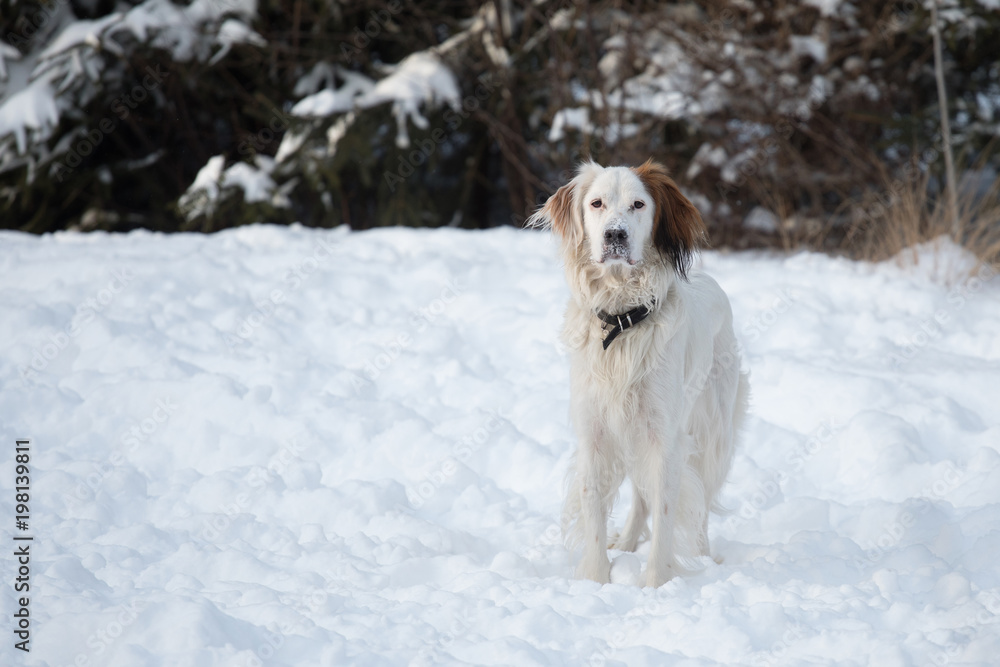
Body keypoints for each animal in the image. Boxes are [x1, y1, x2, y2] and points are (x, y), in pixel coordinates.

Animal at [528, 159, 748, 588]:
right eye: (596, 203)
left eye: (638, 204)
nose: (615, 234)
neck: (622, 321)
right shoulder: (596, 433)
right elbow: (596, 510)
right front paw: (597, 581)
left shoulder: (664, 437)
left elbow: (664, 512)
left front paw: (655, 585)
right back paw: (628, 543)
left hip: (711, 435)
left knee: (699, 503)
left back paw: (705, 556)